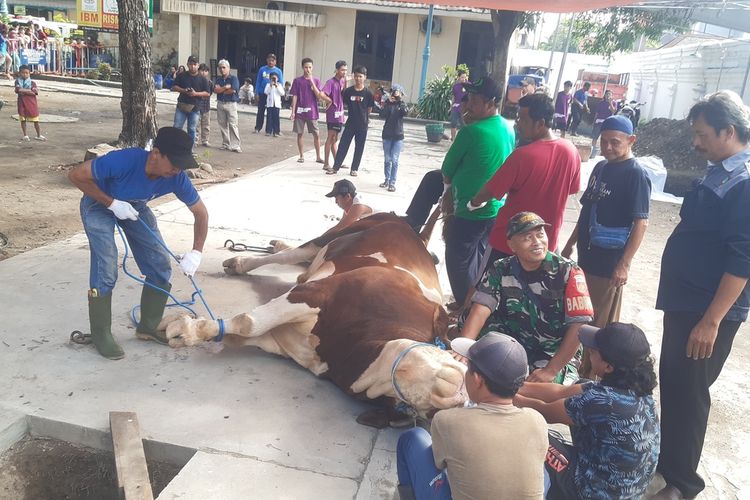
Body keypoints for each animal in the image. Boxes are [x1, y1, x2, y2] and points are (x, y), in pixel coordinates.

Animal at [162, 213, 468, 416]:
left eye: (415, 409)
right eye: (454, 355)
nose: (457, 397)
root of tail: (414, 231)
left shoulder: (283, 343)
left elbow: (240, 333)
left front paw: (192, 331)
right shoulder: (317, 292)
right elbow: (249, 322)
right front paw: (182, 326)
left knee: (301, 262)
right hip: (336, 236)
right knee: (294, 254)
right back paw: (242, 260)